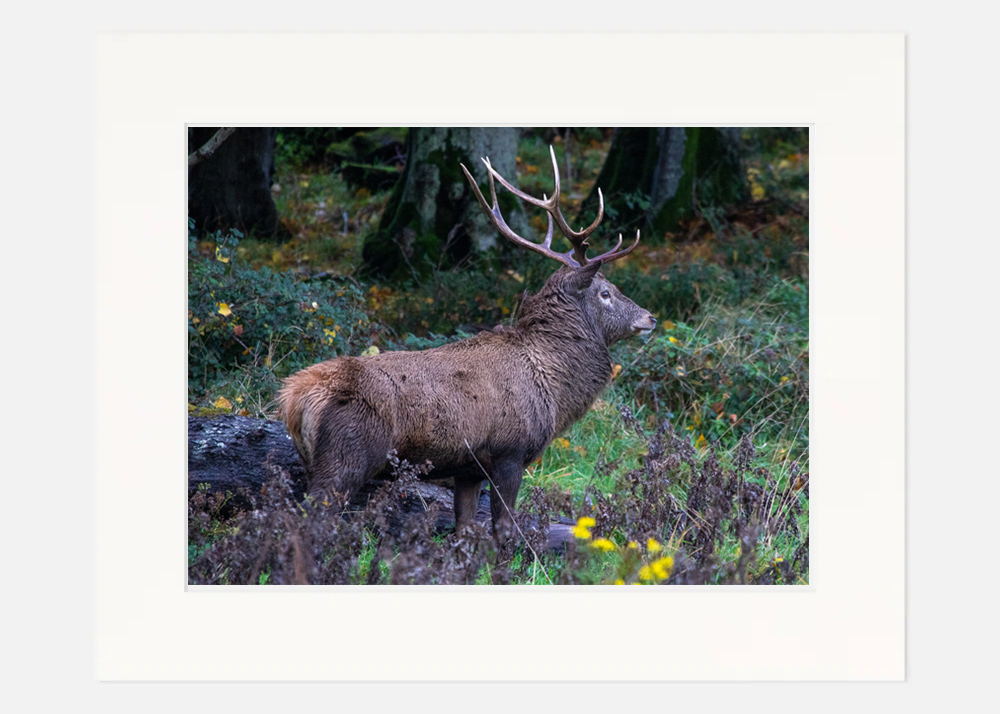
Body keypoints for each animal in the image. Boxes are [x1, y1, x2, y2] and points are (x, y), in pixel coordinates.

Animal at [277, 146, 656, 544]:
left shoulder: (468, 468)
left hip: (313, 459)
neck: (553, 388)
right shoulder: (509, 452)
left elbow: (464, 528)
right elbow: (504, 530)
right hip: (345, 456)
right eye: (605, 292)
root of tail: (293, 400)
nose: (650, 317)